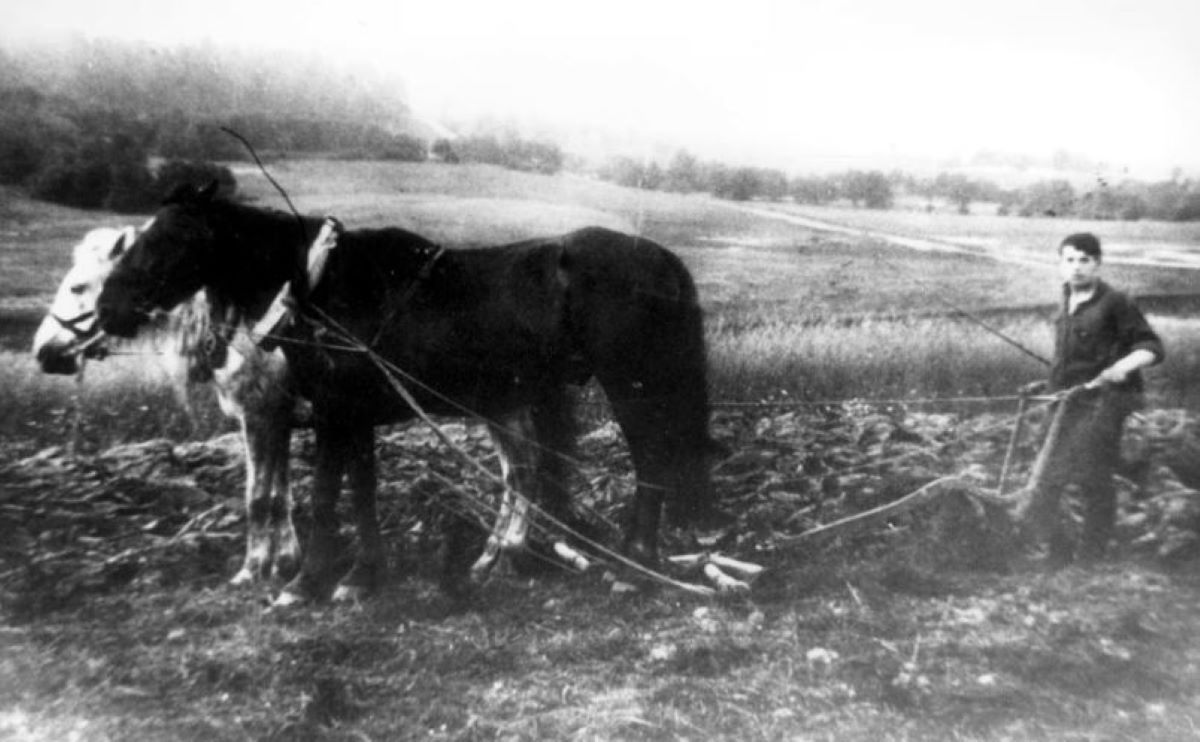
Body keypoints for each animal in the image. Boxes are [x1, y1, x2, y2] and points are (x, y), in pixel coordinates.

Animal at [34, 225, 300, 583]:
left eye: (78, 286)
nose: (42, 351)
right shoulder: (279, 423)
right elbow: (281, 496)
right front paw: (286, 562)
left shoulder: (260, 419)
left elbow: (257, 498)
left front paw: (251, 570)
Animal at [98, 182, 715, 602]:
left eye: (172, 239)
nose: (108, 309)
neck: (321, 287)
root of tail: (660, 258)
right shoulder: (350, 413)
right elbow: (358, 491)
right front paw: (353, 576)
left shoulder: (333, 411)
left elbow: (324, 495)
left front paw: (313, 580)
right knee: (533, 473)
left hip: (633, 386)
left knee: (650, 466)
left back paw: (633, 565)